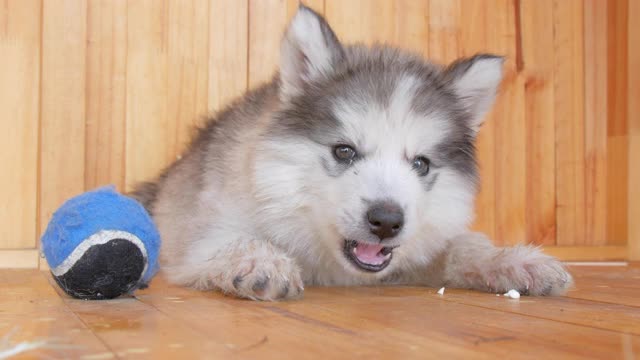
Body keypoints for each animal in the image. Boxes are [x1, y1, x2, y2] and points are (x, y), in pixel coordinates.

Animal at [132, 5, 572, 300]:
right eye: (344, 151)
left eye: (421, 163)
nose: (387, 221)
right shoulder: (201, 236)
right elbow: (232, 241)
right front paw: (259, 260)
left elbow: (464, 245)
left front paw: (513, 261)